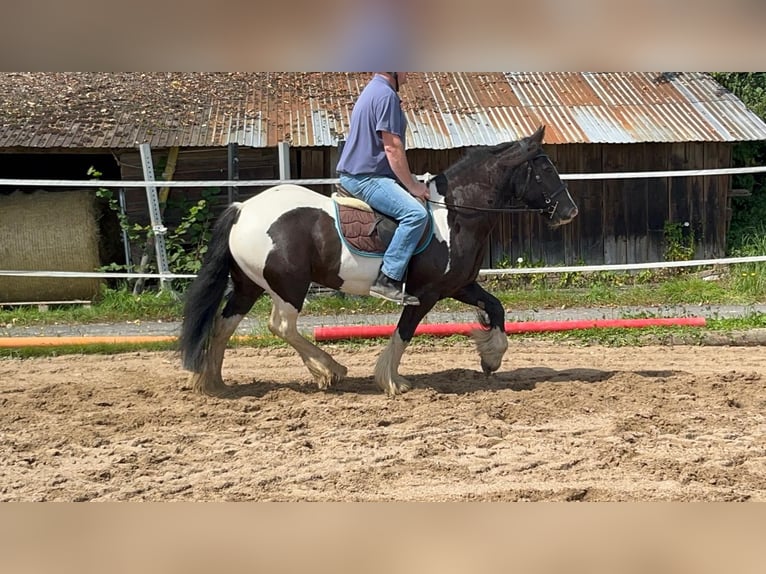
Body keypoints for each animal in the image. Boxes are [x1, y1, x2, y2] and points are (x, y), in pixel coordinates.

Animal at [178, 125, 576, 396]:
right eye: (545, 169)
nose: (568, 212)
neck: (455, 213)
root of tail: (243, 209)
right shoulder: (425, 294)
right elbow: (404, 332)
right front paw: (391, 379)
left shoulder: (460, 285)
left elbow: (495, 308)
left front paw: (490, 358)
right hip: (288, 285)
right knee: (282, 326)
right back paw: (329, 369)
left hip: (250, 285)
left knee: (225, 324)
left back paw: (212, 381)